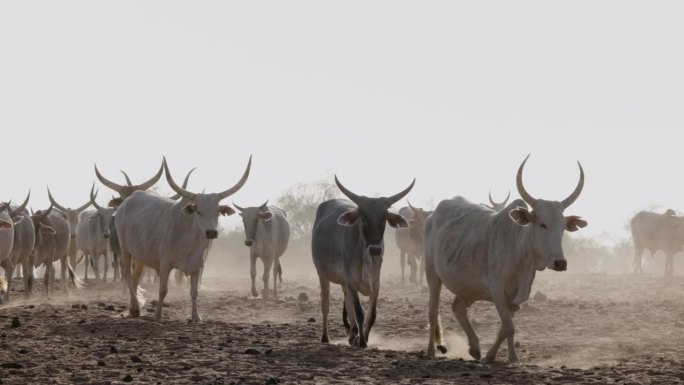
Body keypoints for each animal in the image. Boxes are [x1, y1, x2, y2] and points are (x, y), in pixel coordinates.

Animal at [312, 177, 412, 348]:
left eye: (384, 219)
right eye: (363, 218)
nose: (376, 250)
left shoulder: (375, 282)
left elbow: (371, 315)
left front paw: (362, 337)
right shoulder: (351, 280)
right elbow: (359, 312)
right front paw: (362, 341)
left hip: (344, 282)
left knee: (347, 303)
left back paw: (352, 334)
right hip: (322, 274)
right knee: (325, 304)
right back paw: (325, 337)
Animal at [424, 154, 584, 362]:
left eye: (563, 227)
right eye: (542, 224)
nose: (560, 263)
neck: (520, 253)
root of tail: (432, 216)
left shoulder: (516, 298)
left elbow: (505, 328)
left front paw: (496, 356)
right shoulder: (497, 290)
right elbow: (509, 327)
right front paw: (508, 357)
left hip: (466, 284)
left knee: (457, 307)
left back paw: (475, 348)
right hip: (432, 275)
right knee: (433, 312)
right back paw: (430, 351)